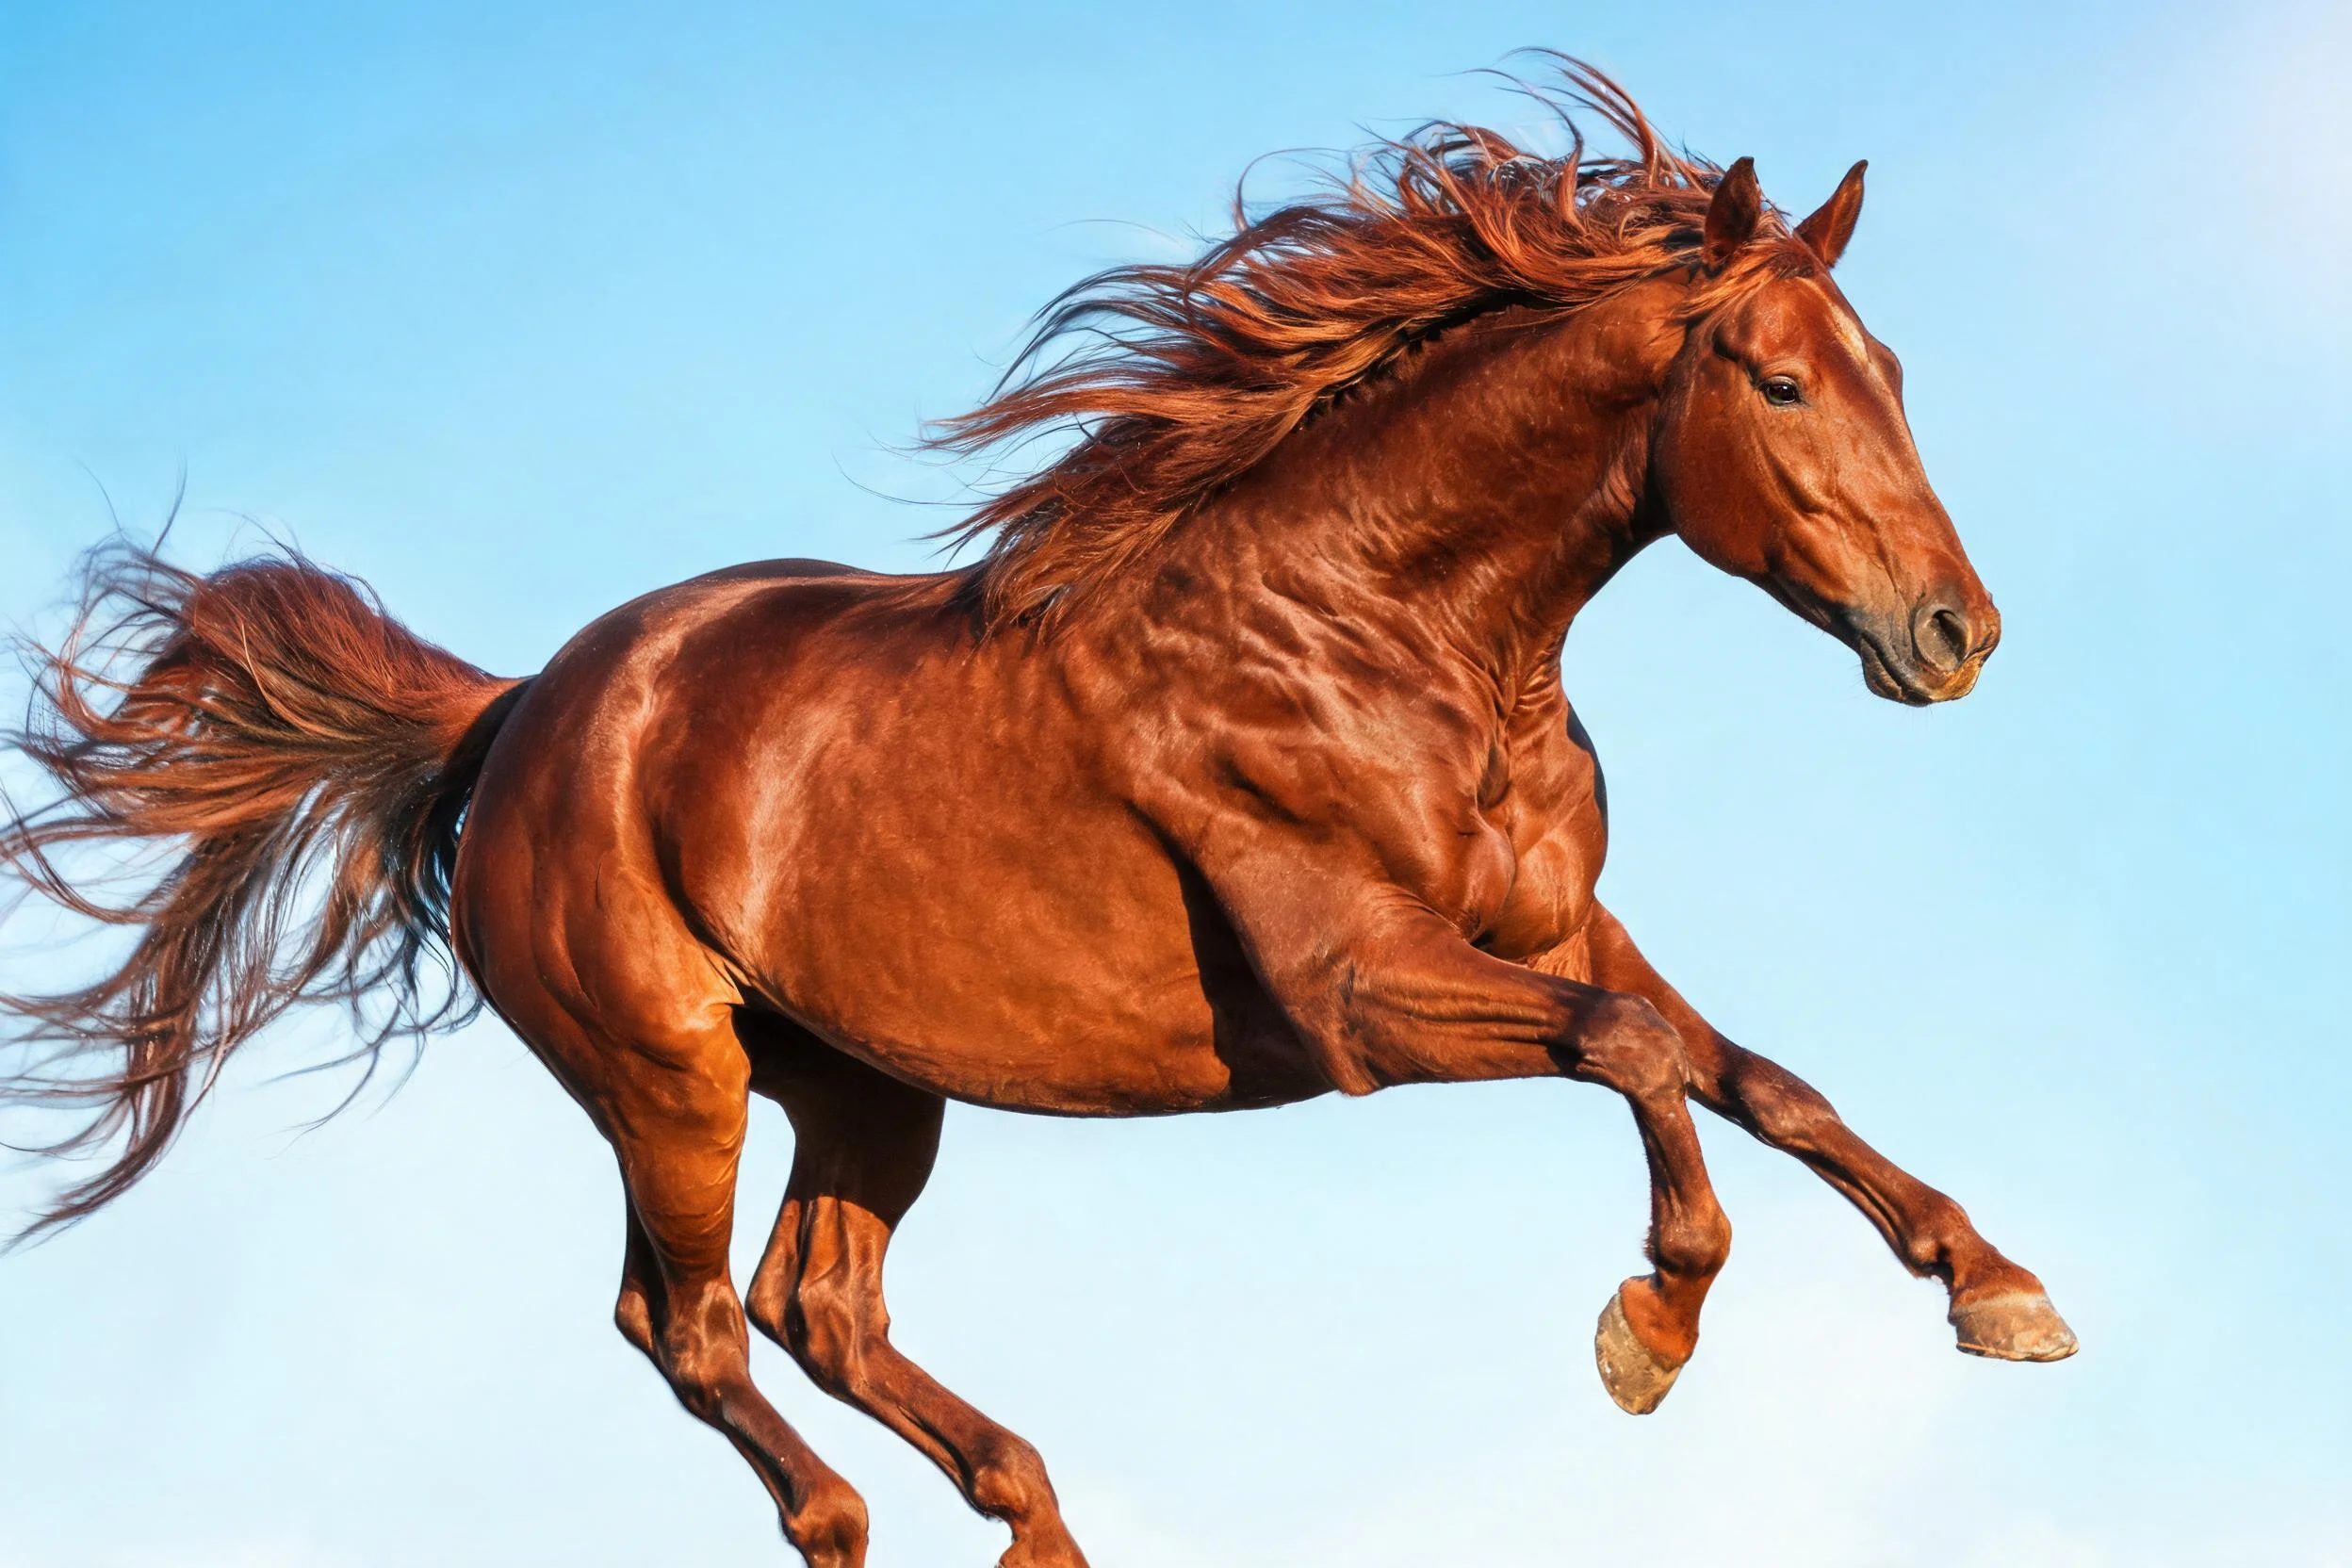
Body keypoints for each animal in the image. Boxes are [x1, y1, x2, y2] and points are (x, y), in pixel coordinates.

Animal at [0, 61, 2075, 1568]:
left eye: (1893, 370)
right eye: (1781, 378)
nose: (1956, 633)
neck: (1389, 628)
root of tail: (515, 716)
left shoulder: (1551, 924)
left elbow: (1757, 1072)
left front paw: (2002, 1290)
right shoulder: (1363, 994)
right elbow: (1639, 1053)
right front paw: (1651, 1329)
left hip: (867, 1078)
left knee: (816, 1302)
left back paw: (1036, 1522)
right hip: (669, 1068)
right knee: (690, 1321)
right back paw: (854, 1522)